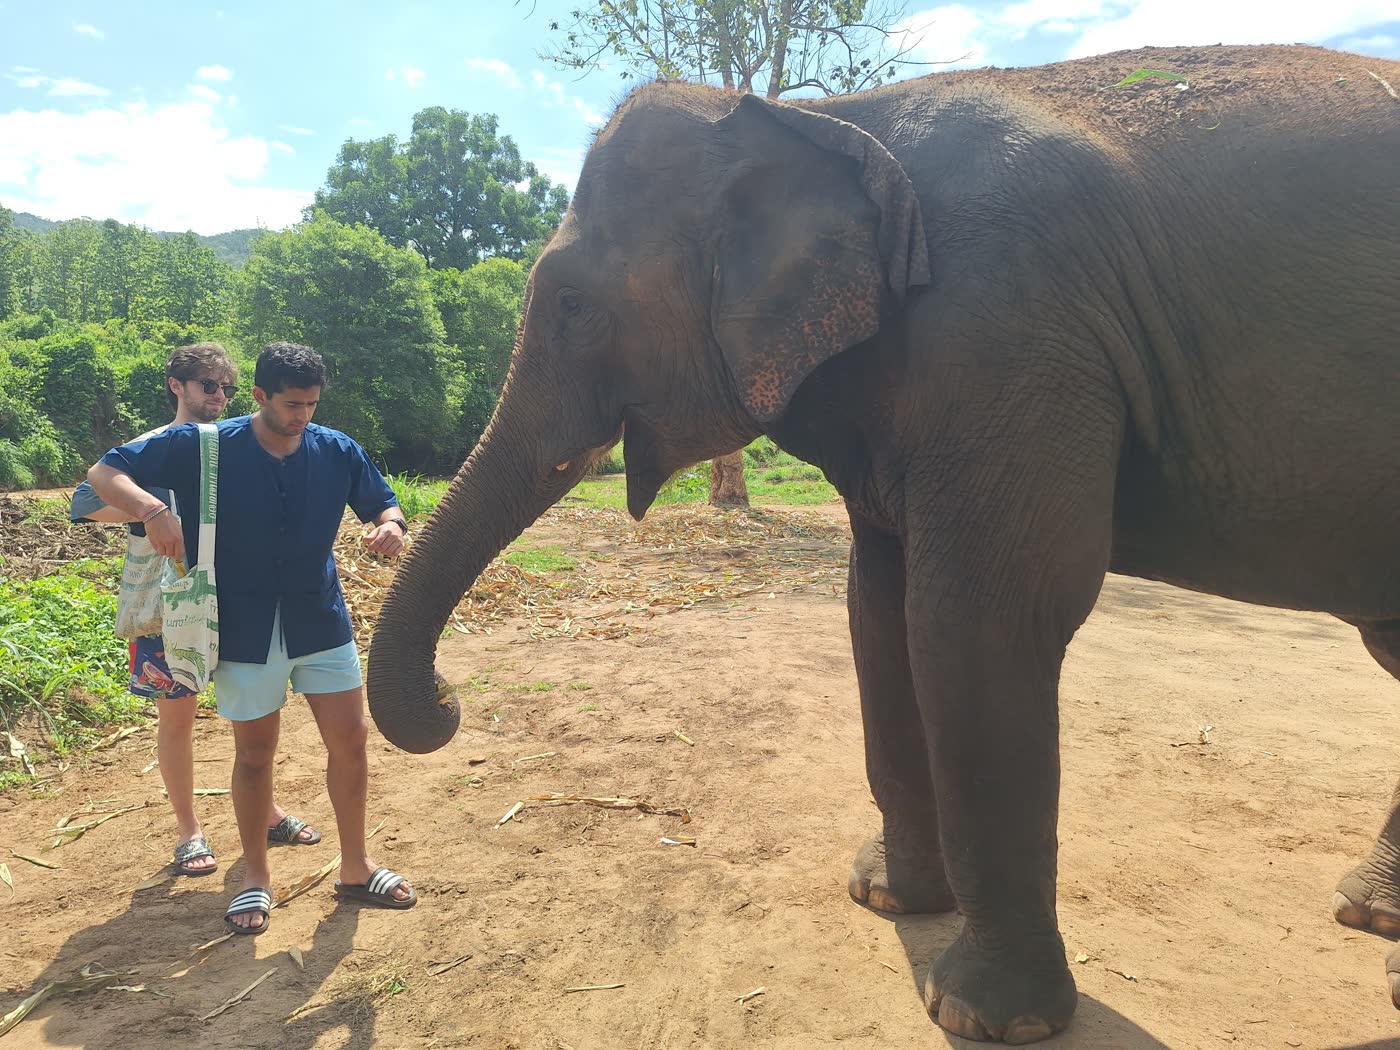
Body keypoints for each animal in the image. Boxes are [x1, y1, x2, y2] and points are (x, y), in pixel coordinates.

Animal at [366, 43, 1400, 1044]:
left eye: (572, 304)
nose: (450, 701)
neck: (820, 121)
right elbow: (877, 609)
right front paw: (886, 898)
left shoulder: (1006, 333)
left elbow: (976, 620)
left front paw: (985, 1016)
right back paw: (1371, 914)